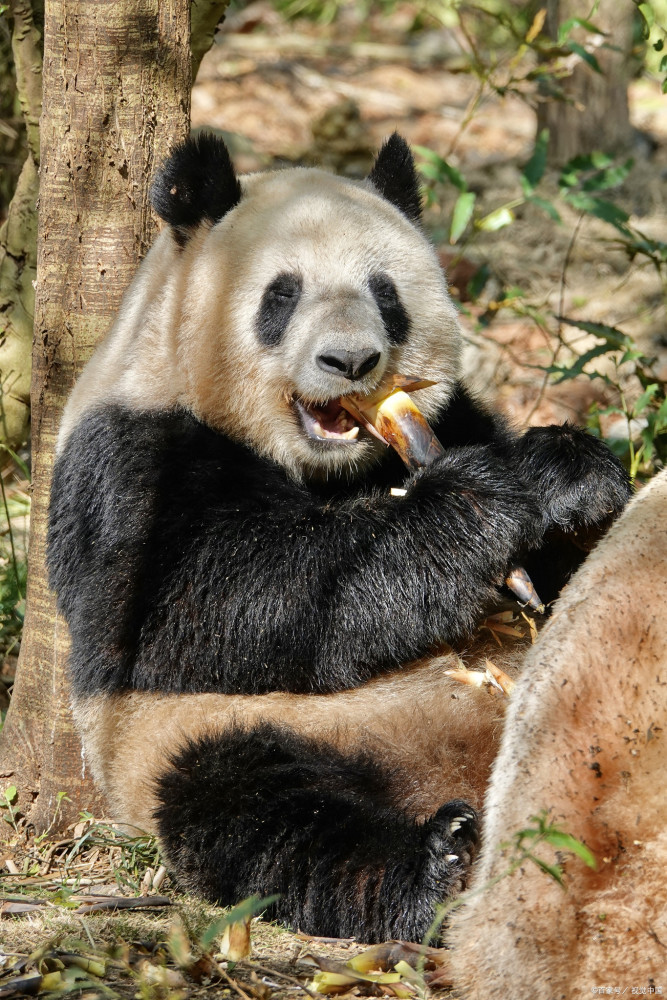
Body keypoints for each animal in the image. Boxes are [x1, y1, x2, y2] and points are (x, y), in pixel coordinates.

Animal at [47, 135, 632, 944]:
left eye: (385, 294)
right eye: (281, 296)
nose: (352, 361)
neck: (332, 467)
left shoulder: (454, 416)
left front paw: (567, 483)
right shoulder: (128, 457)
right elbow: (205, 602)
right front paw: (468, 512)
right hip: (216, 735)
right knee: (264, 811)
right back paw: (434, 863)